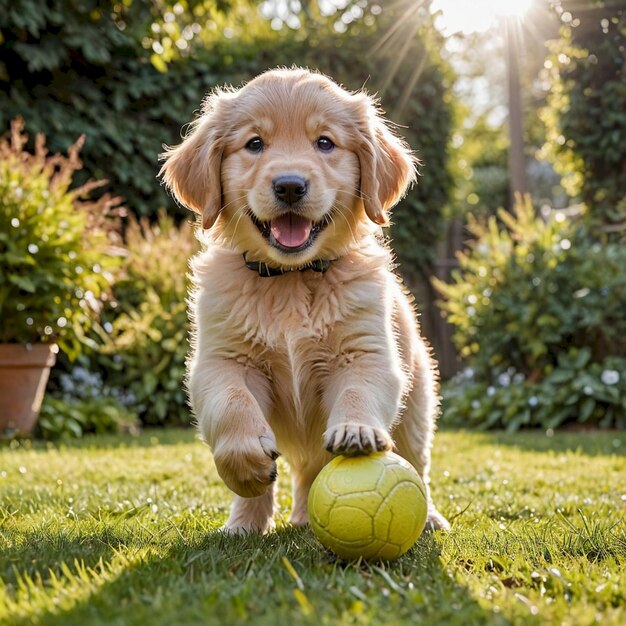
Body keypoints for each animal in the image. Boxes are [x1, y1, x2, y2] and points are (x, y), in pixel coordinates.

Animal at [158, 67, 446, 532]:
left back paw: (429, 516)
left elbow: (359, 391)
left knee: (416, 462)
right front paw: (246, 468)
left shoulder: (366, 351)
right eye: (254, 144)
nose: (290, 186)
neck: (290, 279)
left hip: (418, 402)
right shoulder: (222, 360)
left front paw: (356, 431)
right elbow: (232, 406)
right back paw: (247, 524)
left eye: (325, 142)